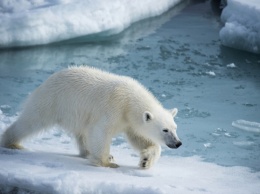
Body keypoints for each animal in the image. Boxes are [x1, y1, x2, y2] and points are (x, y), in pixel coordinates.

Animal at [1, 66, 182, 169]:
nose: (178, 143)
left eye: (175, 128)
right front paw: (107, 162)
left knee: (82, 133)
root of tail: (48, 80)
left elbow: (139, 138)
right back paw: (12, 142)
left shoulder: (129, 121)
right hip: (52, 101)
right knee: (31, 121)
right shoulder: (113, 108)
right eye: (165, 130)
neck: (129, 100)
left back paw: (87, 152)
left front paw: (145, 161)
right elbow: (100, 132)